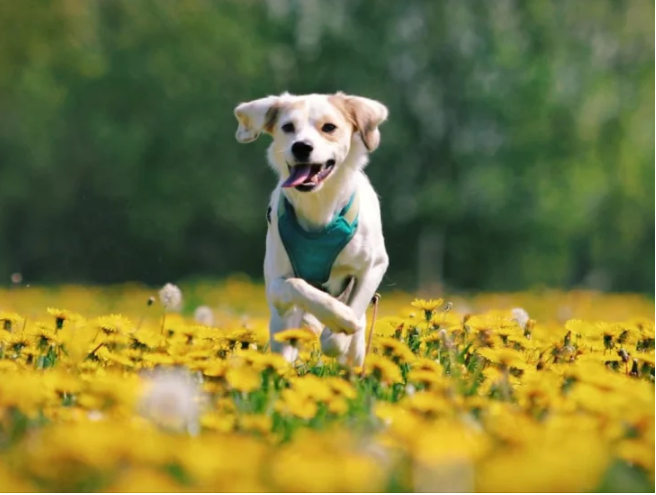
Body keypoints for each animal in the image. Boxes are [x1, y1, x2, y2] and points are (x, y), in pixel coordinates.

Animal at [234, 92, 390, 368]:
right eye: (288, 127)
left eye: (329, 127)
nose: (301, 147)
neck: (319, 206)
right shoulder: (276, 281)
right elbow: (294, 285)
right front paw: (338, 317)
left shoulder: (376, 264)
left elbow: (352, 314)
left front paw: (340, 329)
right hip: (281, 328)